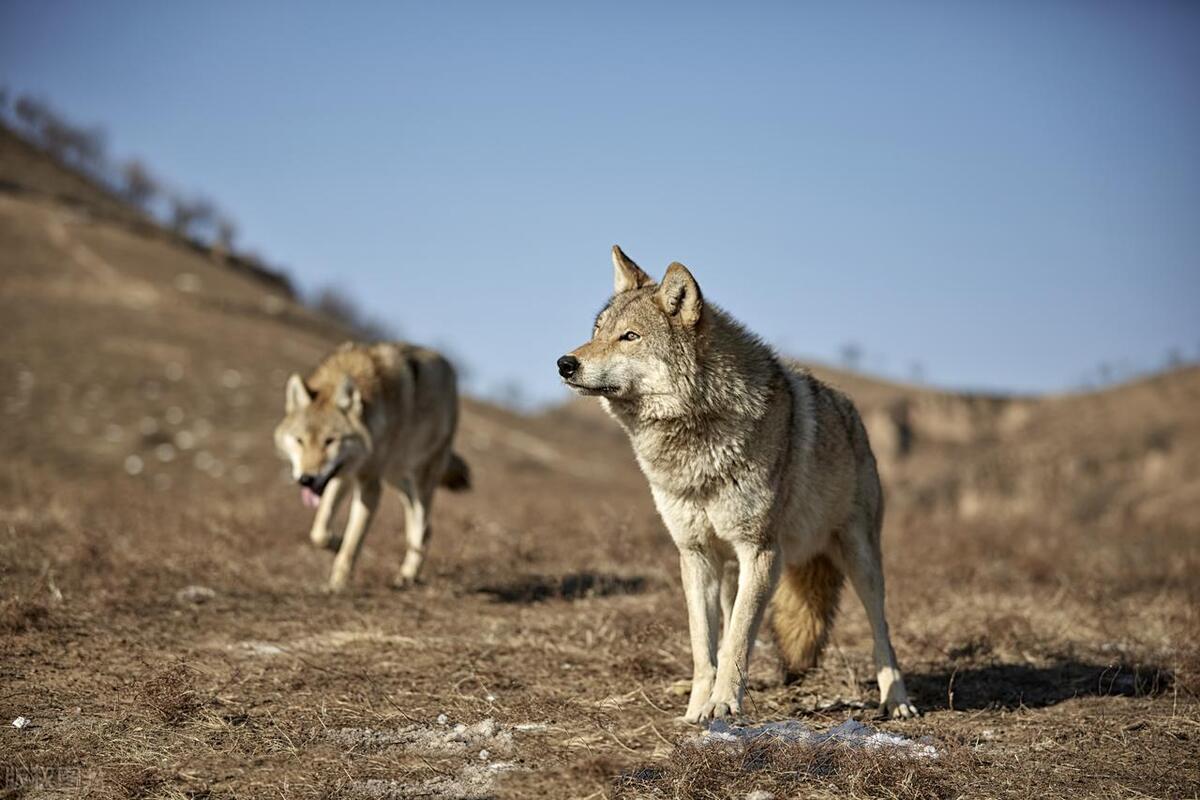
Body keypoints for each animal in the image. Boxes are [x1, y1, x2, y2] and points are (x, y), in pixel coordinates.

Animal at [276, 340, 468, 592]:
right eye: (300, 440)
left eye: (330, 441)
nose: (306, 479)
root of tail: (449, 366)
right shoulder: (343, 475)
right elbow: (319, 532)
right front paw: (336, 542)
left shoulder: (370, 485)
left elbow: (352, 543)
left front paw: (337, 586)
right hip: (397, 477)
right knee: (423, 528)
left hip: (421, 479)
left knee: (422, 527)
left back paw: (408, 575)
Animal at [556, 247, 912, 724]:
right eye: (596, 332)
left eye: (629, 337)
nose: (565, 363)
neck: (696, 436)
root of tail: (851, 410)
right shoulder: (696, 556)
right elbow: (706, 647)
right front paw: (697, 709)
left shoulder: (760, 552)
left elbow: (738, 640)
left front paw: (723, 704)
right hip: (731, 573)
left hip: (860, 559)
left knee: (881, 631)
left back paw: (897, 700)